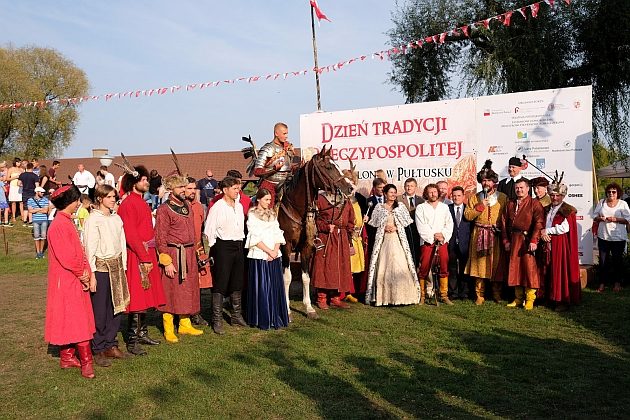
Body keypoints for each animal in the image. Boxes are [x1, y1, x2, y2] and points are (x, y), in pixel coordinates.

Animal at [280, 146, 356, 320]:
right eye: (328, 167)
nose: (350, 188)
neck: (296, 209)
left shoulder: (306, 247)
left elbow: (305, 277)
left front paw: (309, 308)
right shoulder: (286, 246)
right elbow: (286, 277)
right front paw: (287, 310)